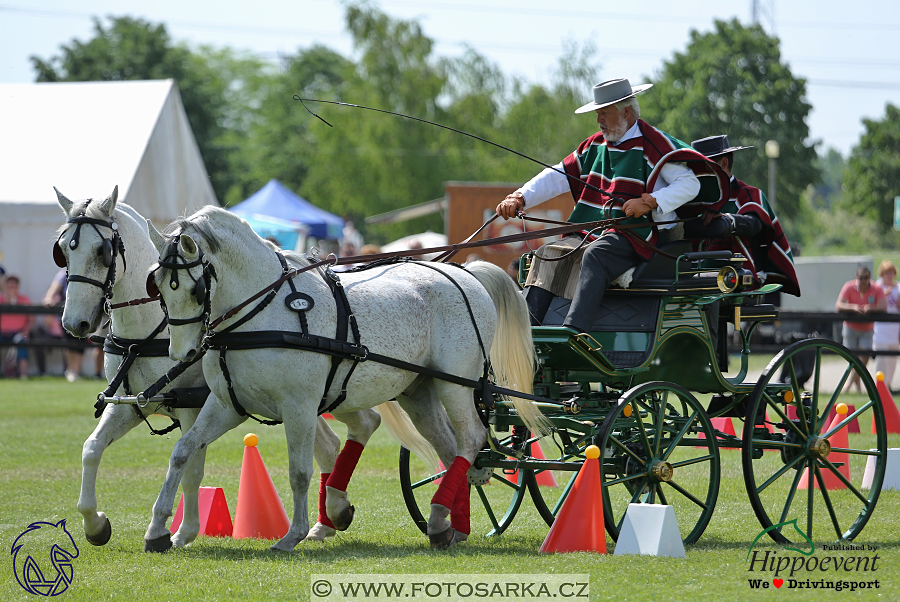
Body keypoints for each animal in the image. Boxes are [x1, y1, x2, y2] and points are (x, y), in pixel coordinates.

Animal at [144, 206, 544, 548]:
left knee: (471, 438)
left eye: (195, 289)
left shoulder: (300, 407)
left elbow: (299, 470)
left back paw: (437, 516)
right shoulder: (228, 404)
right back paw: (447, 523)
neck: (261, 313)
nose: (181, 354)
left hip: (454, 383)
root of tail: (466, 272)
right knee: (450, 446)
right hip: (418, 391)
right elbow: (182, 452)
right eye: (158, 288)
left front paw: (293, 534)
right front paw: (159, 529)